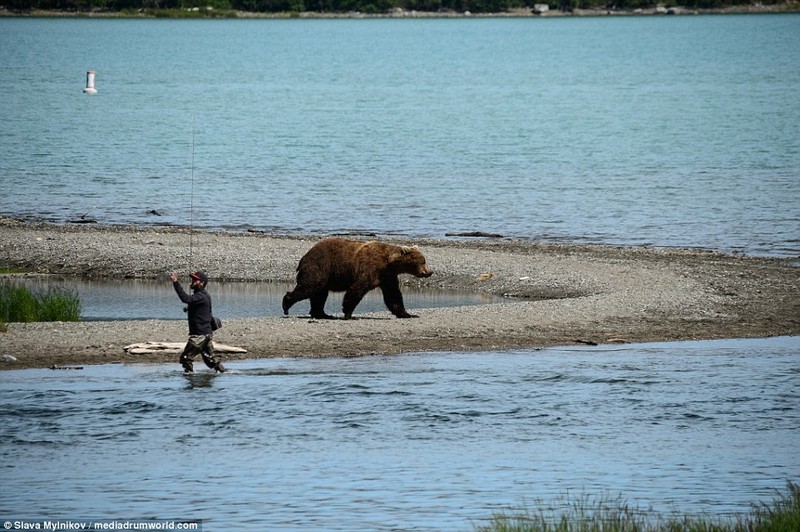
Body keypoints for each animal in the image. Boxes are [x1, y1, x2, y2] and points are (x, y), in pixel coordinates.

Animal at [282, 238, 432, 320]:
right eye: (423, 261)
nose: (429, 272)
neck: (389, 263)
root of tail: (305, 256)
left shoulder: (387, 277)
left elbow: (393, 295)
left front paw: (408, 314)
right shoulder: (369, 268)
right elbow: (357, 288)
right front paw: (348, 313)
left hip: (325, 274)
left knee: (319, 294)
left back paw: (322, 314)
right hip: (320, 266)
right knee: (310, 287)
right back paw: (286, 304)